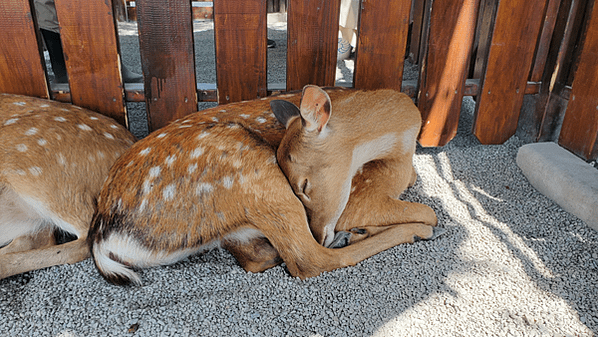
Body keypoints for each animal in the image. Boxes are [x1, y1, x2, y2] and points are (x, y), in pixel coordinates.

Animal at [90, 84, 446, 284]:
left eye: (304, 183)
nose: (321, 229)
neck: (403, 140)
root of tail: (103, 238)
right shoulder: (358, 194)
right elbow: (429, 210)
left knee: (259, 257)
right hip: (251, 168)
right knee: (308, 260)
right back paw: (406, 233)